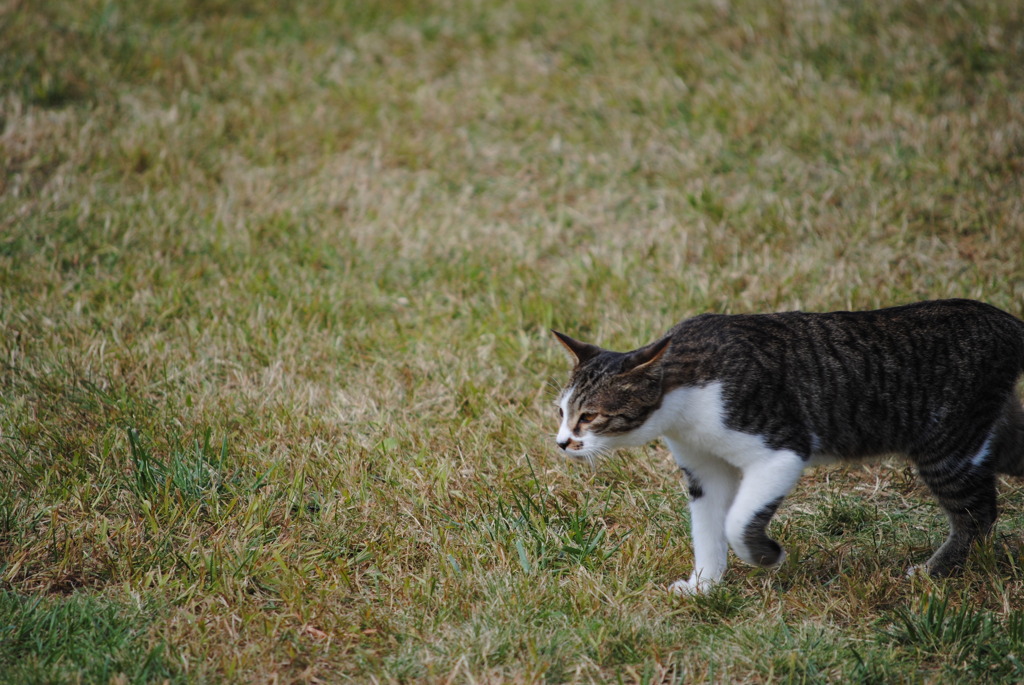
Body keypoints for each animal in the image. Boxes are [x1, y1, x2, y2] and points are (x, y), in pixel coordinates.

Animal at [552, 298, 1024, 593]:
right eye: (560, 411)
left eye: (589, 416)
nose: (562, 443)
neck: (683, 403)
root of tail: (1008, 323)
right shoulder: (704, 471)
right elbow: (707, 530)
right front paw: (704, 586)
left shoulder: (779, 451)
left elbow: (735, 522)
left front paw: (767, 556)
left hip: (947, 444)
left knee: (978, 514)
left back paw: (931, 574)